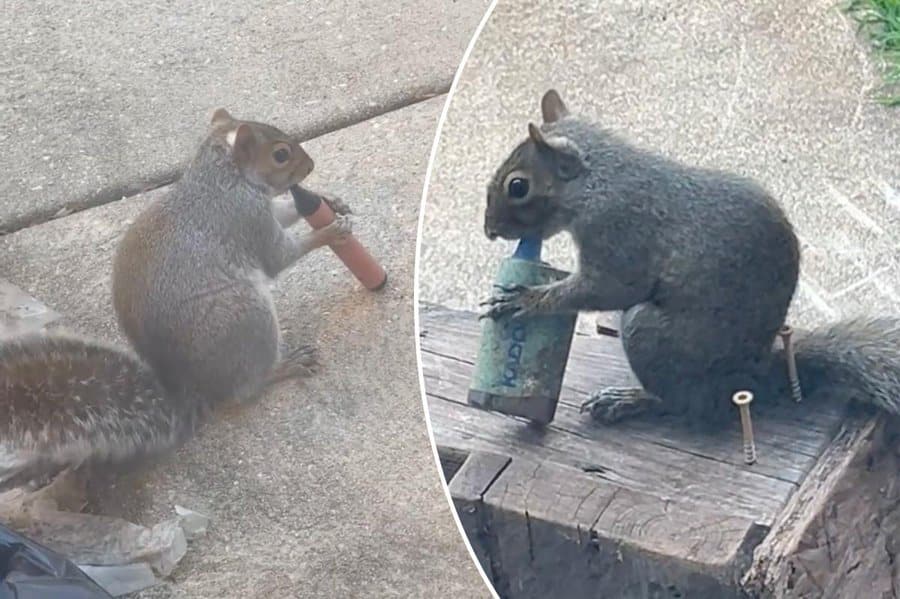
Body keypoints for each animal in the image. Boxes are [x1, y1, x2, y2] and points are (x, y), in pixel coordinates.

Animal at [0, 109, 352, 486]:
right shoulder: (246, 219)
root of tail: (190, 389)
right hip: (244, 315)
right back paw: (284, 366)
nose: (311, 166)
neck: (222, 178)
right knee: (243, 389)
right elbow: (279, 256)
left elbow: (286, 212)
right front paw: (331, 231)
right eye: (281, 154)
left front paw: (328, 201)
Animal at [482, 89, 900, 427]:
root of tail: (754, 376)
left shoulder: (620, 233)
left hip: (650, 333)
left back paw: (630, 400)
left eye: (518, 186)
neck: (598, 181)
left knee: (685, 406)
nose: (489, 230)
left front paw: (525, 300)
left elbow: (611, 289)